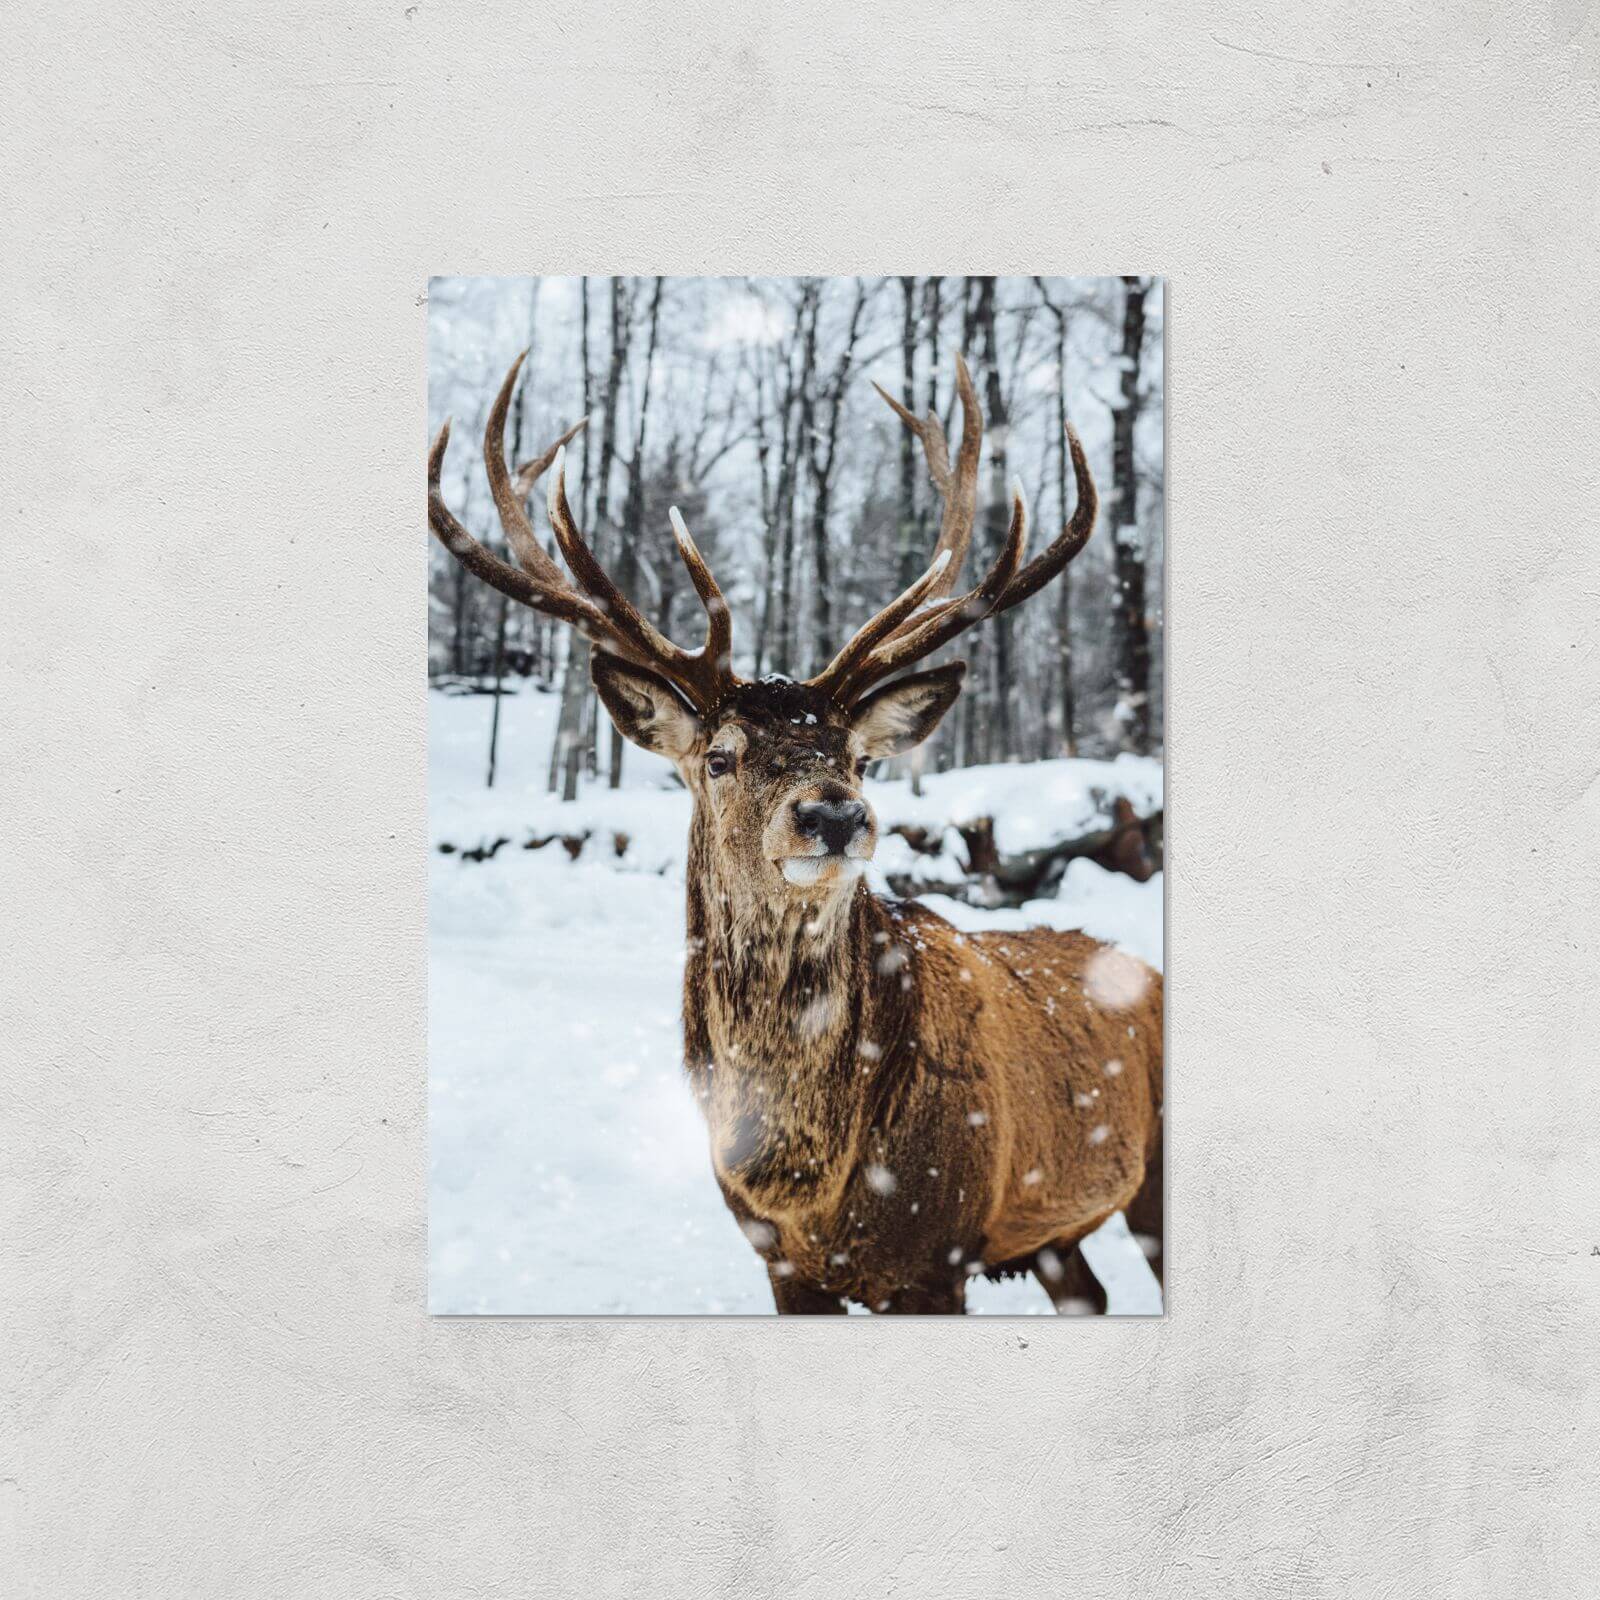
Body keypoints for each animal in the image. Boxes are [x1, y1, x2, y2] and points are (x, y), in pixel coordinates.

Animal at [428, 351, 1163, 1314]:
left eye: (858, 757)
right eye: (720, 756)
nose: (833, 813)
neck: (808, 1184)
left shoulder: (940, 1255)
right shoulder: (777, 1260)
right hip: (1054, 1238)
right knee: (1092, 1293)